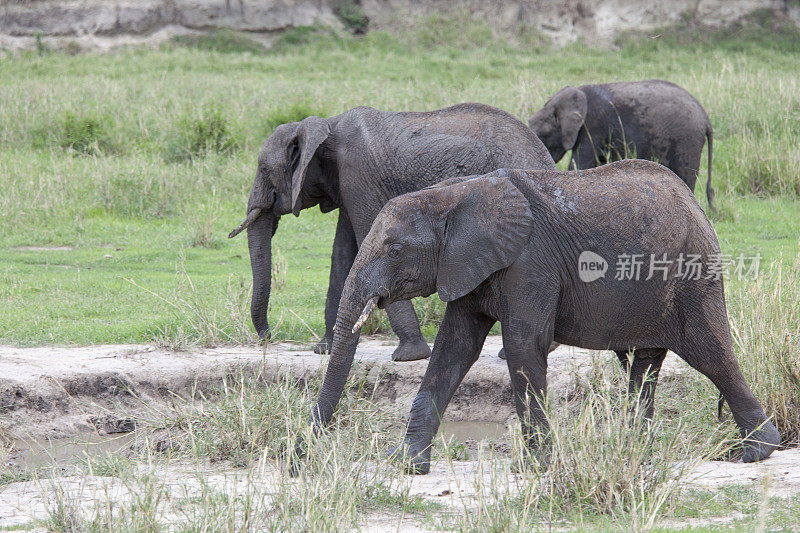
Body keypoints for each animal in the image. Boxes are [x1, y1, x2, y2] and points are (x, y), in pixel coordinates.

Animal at [230, 103, 556, 362]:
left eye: (264, 171)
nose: (267, 337)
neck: (324, 125)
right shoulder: (346, 186)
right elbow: (343, 256)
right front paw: (324, 350)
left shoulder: (358, 176)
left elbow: (369, 242)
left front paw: (410, 356)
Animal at [296, 159, 780, 474]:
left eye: (395, 250)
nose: (298, 459)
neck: (453, 193)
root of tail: (693, 201)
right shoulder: (468, 265)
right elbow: (454, 350)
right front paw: (406, 465)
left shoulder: (528, 264)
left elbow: (522, 346)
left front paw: (535, 468)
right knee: (644, 365)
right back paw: (634, 449)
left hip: (692, 276)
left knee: (710, 353)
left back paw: (758, 452)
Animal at [528, 80, 716, 211]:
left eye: (544, 134)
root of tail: (706, 118)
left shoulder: (593, 126)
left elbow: (579, 164)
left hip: (687, 140)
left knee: (685, 175)